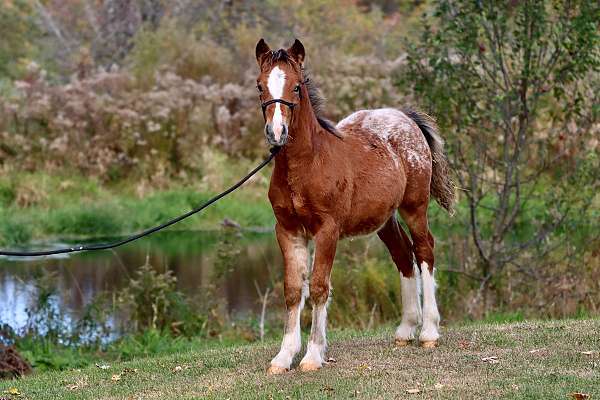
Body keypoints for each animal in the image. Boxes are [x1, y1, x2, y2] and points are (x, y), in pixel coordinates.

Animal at [255, 39, 458, 374]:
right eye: (260, 86)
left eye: (296, 87)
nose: (277, 132)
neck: (307, 164)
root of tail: (405, 118)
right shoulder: (287, 231)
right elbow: (294, 290)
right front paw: (283, 357)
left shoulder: (327, 230)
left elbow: (319, 287)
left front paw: (312, 355)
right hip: (384, 219)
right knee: (403, 255)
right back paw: (406, 329)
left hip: (414, 207)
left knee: (424, 250)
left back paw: (429, 331)